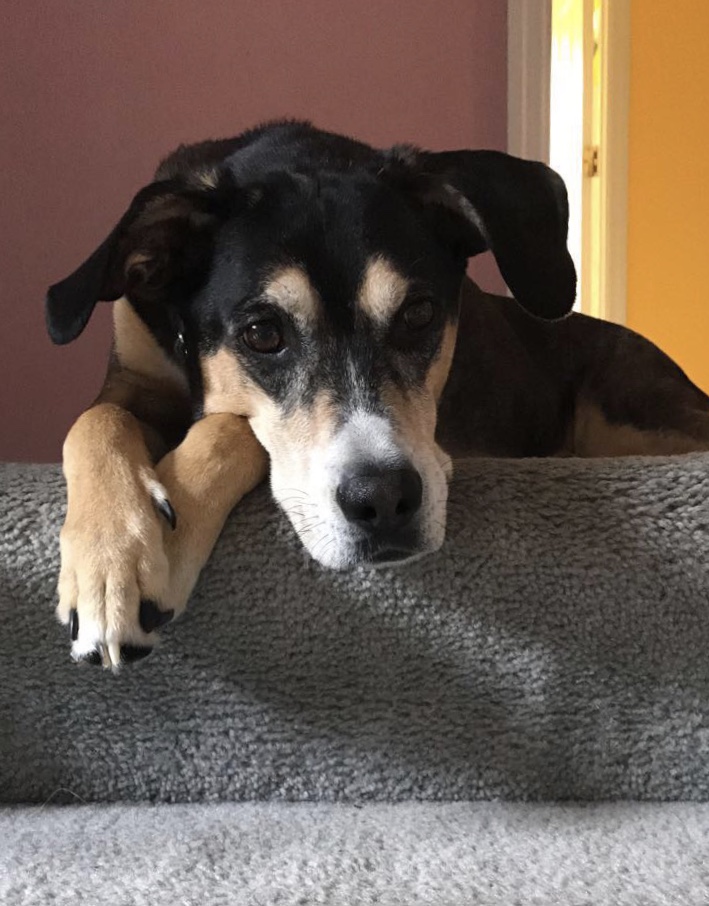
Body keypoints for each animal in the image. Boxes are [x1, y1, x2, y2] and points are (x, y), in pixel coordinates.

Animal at [45, 120, 709, 668]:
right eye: (262, 334)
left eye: (418, 314)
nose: (384, 502)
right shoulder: (133, 371)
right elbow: (96, 418)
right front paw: (112, 562)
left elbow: (232, 424)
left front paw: (167, 538)